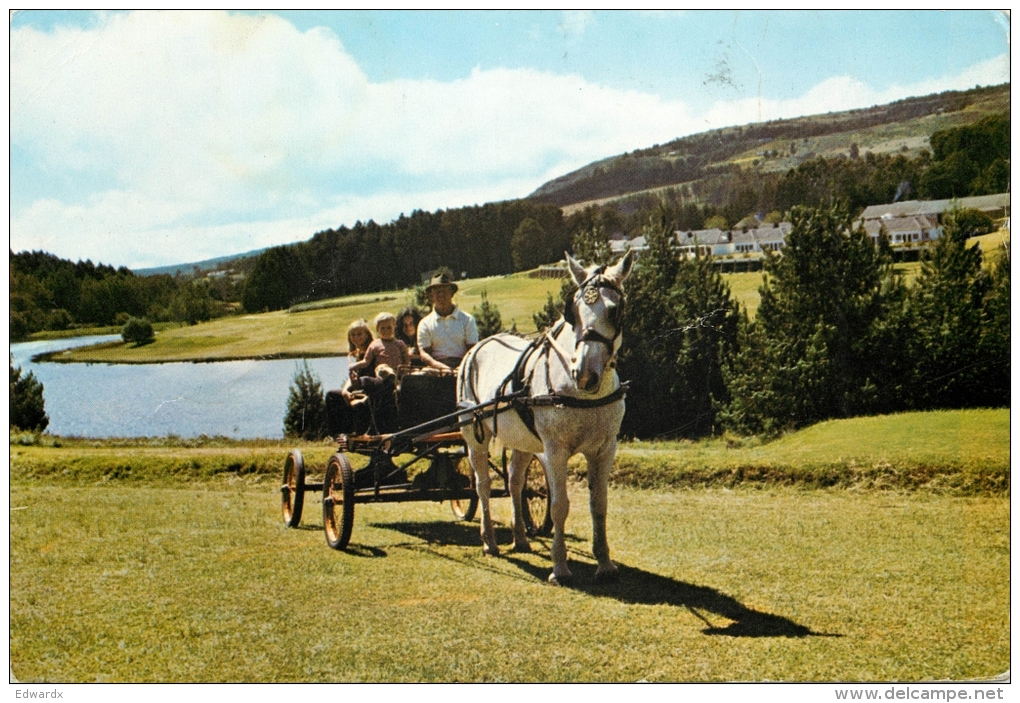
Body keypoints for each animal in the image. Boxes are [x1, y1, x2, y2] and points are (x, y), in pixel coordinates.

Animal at [454, 249, 628, 583]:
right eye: (572, 312)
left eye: (614, 311)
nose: (584, 375)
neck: (582, 394)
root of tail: (477, 347)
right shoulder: (555, 449)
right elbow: (560, 505)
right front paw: (559, 567)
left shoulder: (605, 448)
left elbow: (599, 504)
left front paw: (604, 563)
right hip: (474, 435)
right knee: (482, 485)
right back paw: (489, 541)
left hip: (522, 440)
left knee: (514, 482)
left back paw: (520, 538)